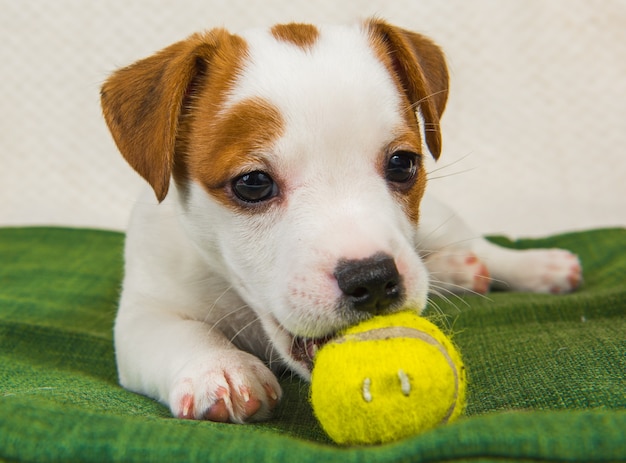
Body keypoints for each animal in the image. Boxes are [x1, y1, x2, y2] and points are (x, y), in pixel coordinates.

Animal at [98, 18, 580, 424]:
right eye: (253, 183)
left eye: (402, 164)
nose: (373, 278)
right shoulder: (143, 313)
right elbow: (180, 332)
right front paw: (220, 367)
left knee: (477, 245)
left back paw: (534, 266)